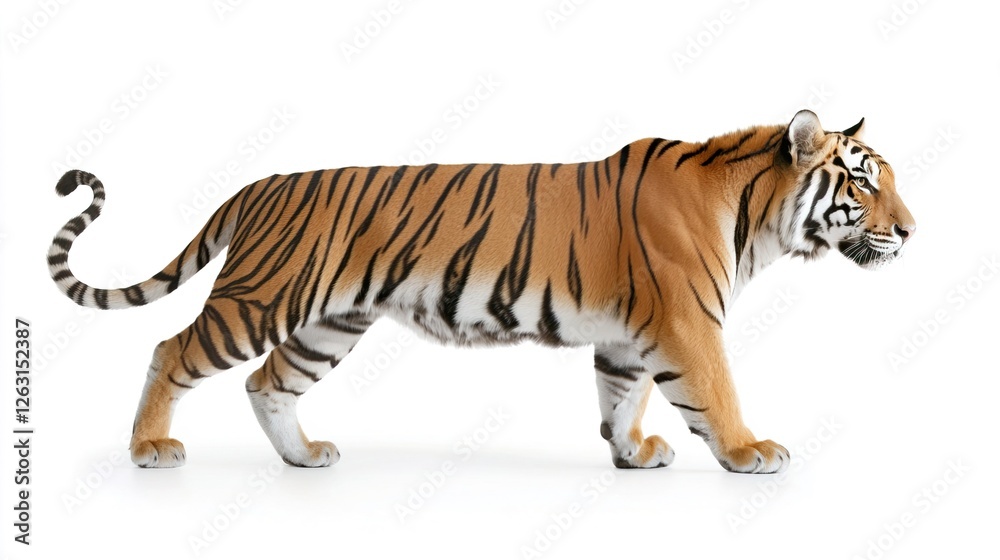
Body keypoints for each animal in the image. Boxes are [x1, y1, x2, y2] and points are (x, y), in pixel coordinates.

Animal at [48, 109, 915, 473]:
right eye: (864, 183)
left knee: (268, 383)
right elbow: (716, 392)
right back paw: (148, 449)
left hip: (332, 323)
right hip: (259, 300)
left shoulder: (630, 334)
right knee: (171, 349)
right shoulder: (687, 322)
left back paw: (303, 457)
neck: (756, 217)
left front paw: (631, 454)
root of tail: (261, 185)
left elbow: (621, 397)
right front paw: (748, 452)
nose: (911, 231)